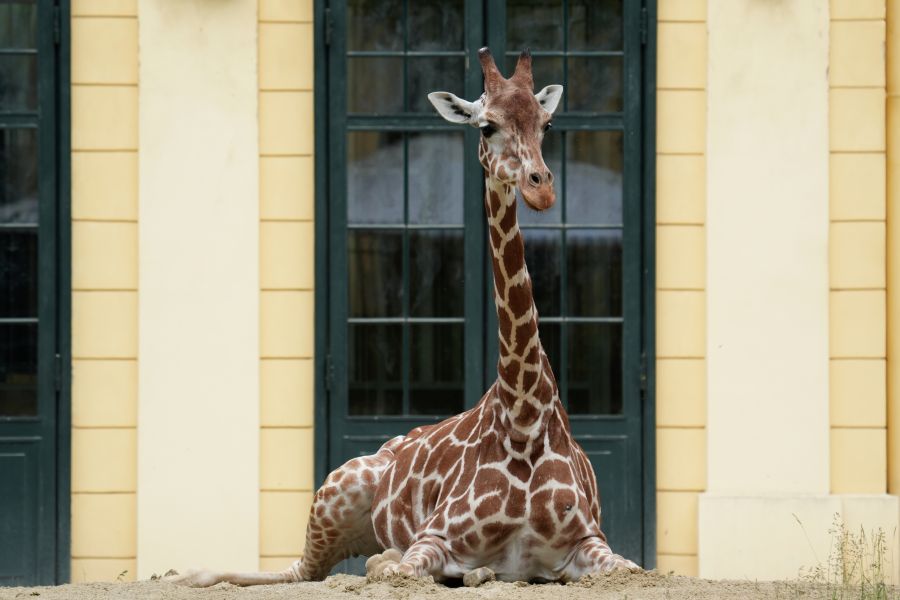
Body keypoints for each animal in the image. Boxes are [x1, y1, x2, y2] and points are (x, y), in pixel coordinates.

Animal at [165, 48, 639, 589]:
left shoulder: (590, 543)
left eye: (547, 123)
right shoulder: (434, 537)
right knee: (300, 570)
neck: (525, 417)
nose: (541, 190)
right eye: (487, 126)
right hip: (335, 490)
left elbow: (634, 568)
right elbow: (394, 568)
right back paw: (188, 573)